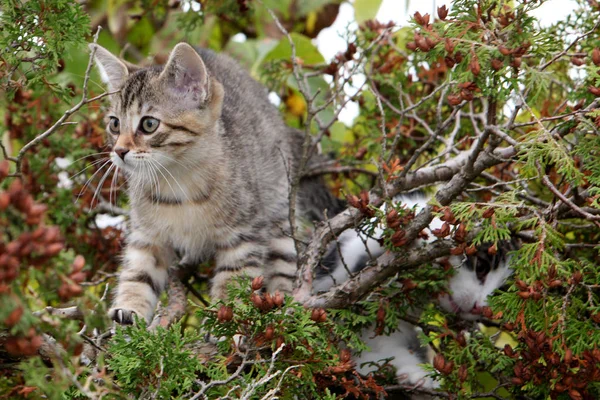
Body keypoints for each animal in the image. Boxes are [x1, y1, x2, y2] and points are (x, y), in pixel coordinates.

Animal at [91, 43, 340, 324]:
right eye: (114, 124)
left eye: (149, 124)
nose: (119, 151)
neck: (177, 180)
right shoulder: (147, 234)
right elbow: (138, 273)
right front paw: (129, 307)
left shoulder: (243, 234)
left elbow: (233, 280)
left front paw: (228, 319)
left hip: (277, 209)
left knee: (283, 262)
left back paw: (282, 302)